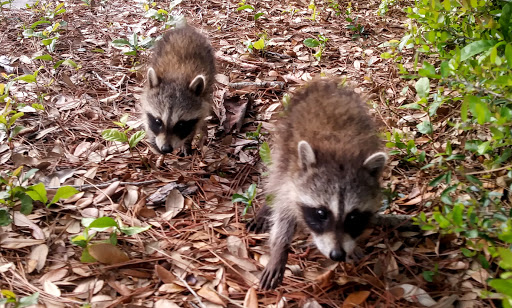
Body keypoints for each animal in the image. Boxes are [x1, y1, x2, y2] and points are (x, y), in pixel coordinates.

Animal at [141, 24, 217, 154]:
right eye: (158, 121)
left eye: (181, 124)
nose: (166, 149)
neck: (176, 77)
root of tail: (185, 29)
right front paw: (152, 137)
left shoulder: (202, 102)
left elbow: (194, 125)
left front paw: (187, 142)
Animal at [248, 78, 388, 290]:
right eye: (321, 213)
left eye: (353, 217)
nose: (337, 255)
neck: (340, 154)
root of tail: (326, 85)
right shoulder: (292, 176)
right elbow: (284, 211)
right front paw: (280, 248)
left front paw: (353, 246)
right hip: (284, 138)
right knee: (275, 175)